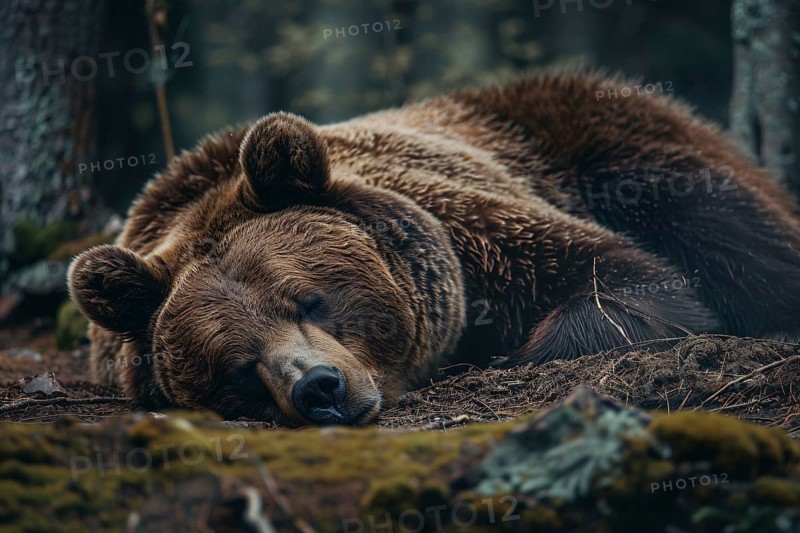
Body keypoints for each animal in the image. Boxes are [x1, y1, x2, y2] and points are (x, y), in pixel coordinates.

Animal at [68, 72, 800, 426]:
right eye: (236, 366)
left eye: (309, 299)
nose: (320, 387)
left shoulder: (482, 236)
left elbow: (625, 283)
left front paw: (512, 353)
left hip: (612, 146)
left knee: (738, 236)